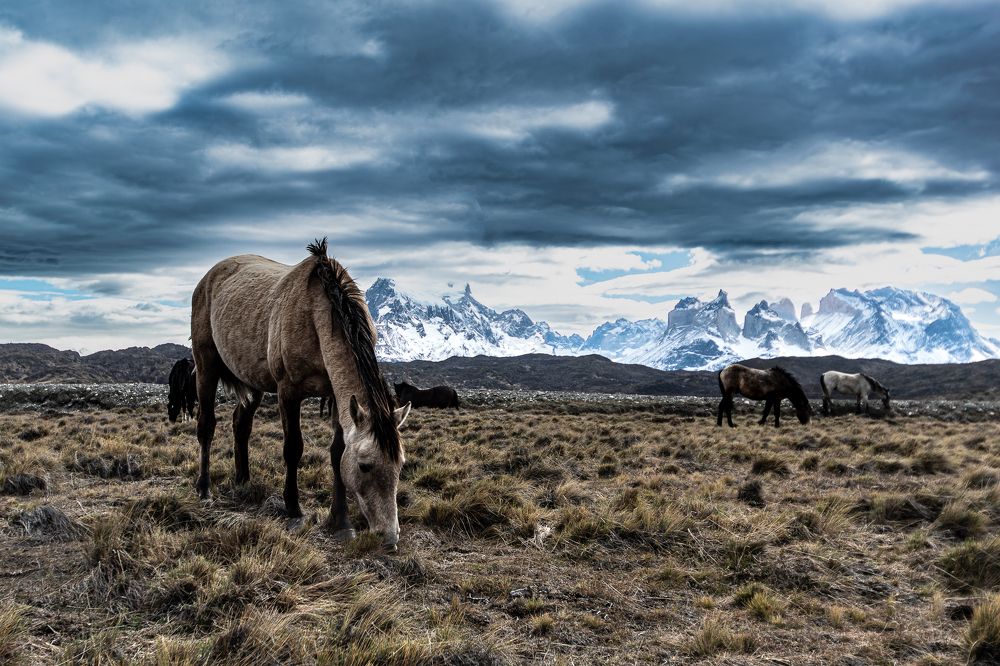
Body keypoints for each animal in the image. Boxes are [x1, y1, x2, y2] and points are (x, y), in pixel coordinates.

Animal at [191, 238, 411, 549]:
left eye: (400, 466)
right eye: (364, 466)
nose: (390, 538)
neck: (317, 314)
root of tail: (208, 277)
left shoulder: (336, 397)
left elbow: (336, 451)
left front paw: (340, 521)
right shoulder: (288, 393)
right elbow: (293, 448)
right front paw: (294, 510)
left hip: (252, 382)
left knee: (240, 424)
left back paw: (243, 480)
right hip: (206, 366)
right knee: (207, 426)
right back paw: (204, 489)